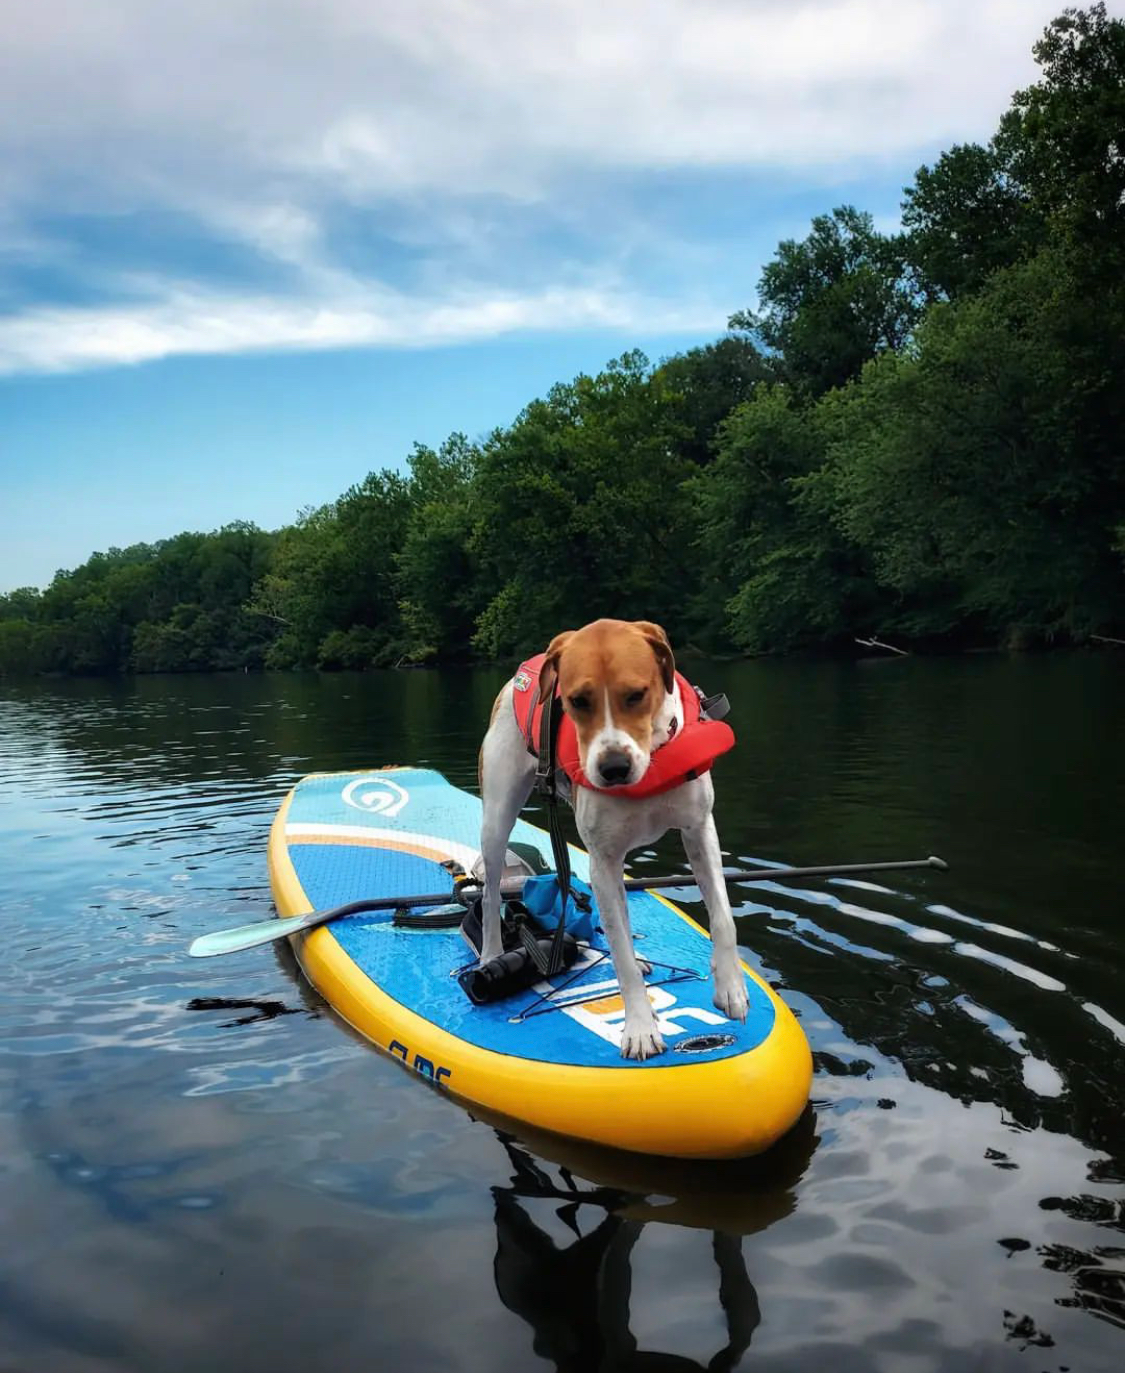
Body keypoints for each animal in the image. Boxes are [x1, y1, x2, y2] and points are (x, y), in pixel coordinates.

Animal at [478, 623, 747, 1059]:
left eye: (636, 694)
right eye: (577, 701)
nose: (614, 768)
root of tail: (518, 676)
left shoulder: (699, 829)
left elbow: (723, 918)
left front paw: (731, 989)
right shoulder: (601, 860)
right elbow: (617, 953)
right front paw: (638, 1028)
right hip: (497, 816)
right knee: (489, 895)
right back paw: (490, 956)